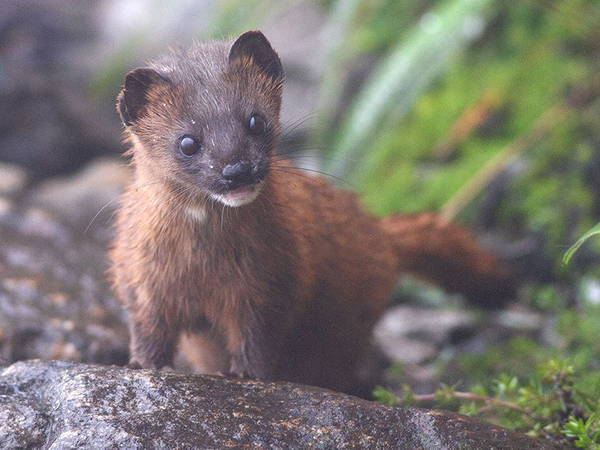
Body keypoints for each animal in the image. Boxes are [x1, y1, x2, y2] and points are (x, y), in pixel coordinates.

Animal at [110, 29, 512, 392]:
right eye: (187, 142)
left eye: (255, 120)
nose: (238, 170)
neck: (204, 266)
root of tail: (380, 233)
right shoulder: (140, 277)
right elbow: (149, 328)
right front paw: (143, 365)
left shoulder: (272, 278)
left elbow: (258, 334)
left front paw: (246, 375)